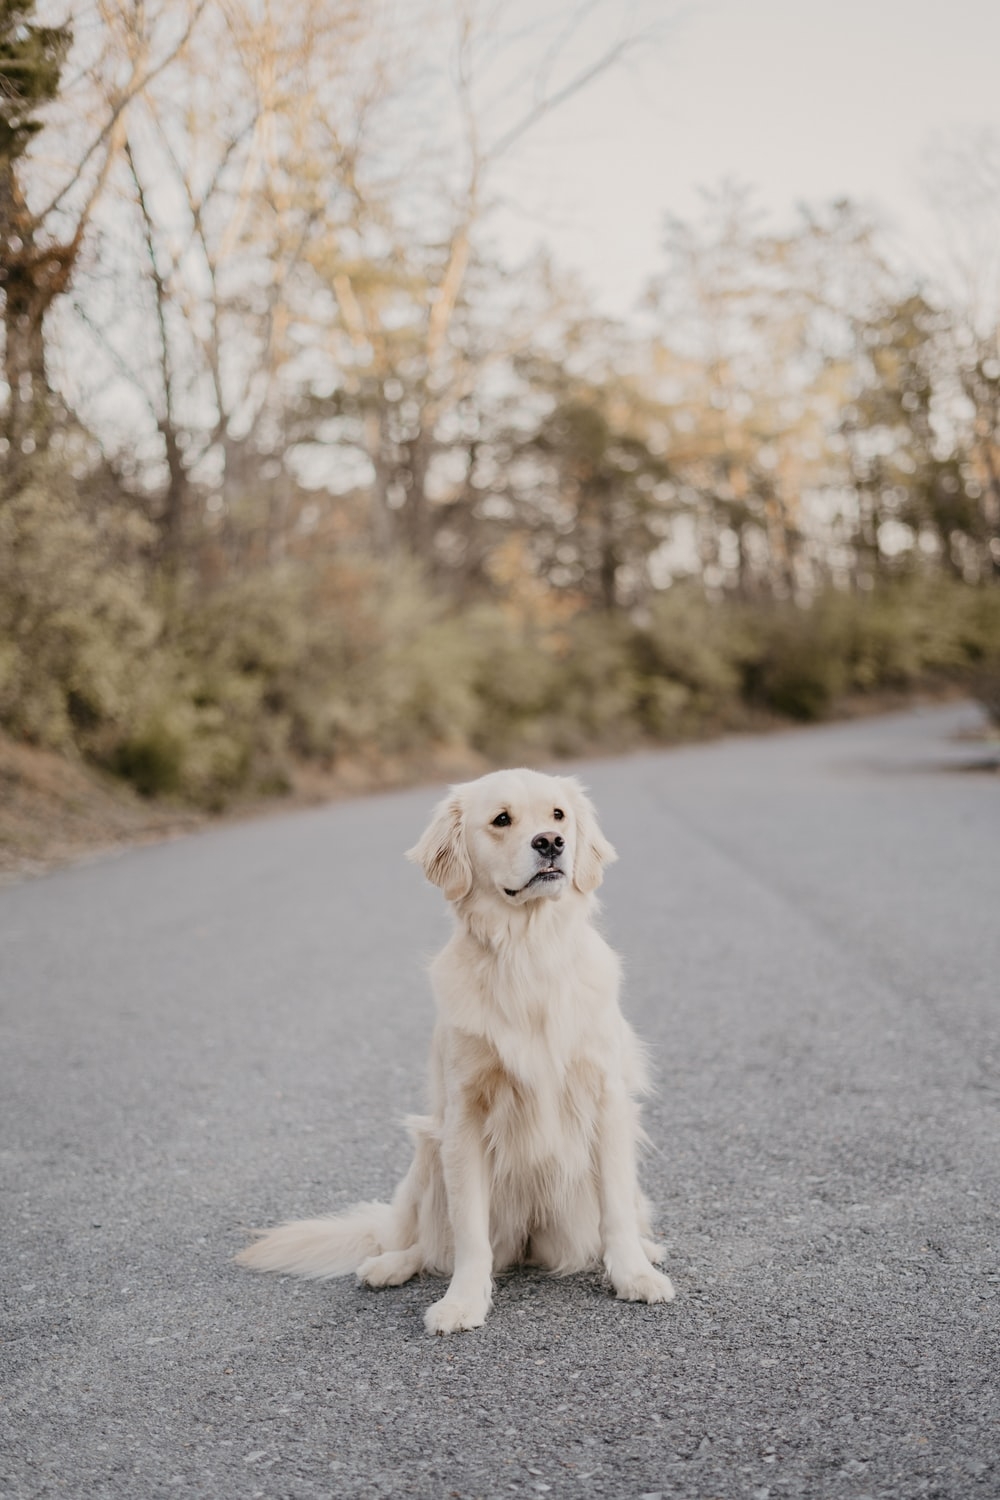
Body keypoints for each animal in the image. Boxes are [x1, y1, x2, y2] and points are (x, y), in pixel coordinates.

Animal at [236, 768, 671, 1332]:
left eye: (558, 815)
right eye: (501, 820)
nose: (552, 843)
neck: (527, 953)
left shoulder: (607, 1101)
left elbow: (615, 1208)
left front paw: (634, 1275)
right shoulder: (464, 1117)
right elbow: (468, 1232)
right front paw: (462, 1302)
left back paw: (648, 1250)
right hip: (426, 1154)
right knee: (422, 1243)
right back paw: (388, 1265)